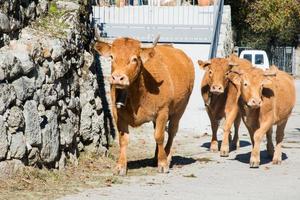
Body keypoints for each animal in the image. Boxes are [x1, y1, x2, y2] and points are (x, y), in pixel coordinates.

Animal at [95, 36, 196, 175]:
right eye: (111, 57)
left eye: (134, 59)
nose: (117, 78)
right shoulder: (117, 113)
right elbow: (123, 139)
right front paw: (121, 166)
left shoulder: (162, 111)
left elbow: (159, 136)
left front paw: (163, 163)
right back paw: (156, 157)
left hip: (180, 109)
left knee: (171, 132)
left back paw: (167, 156)